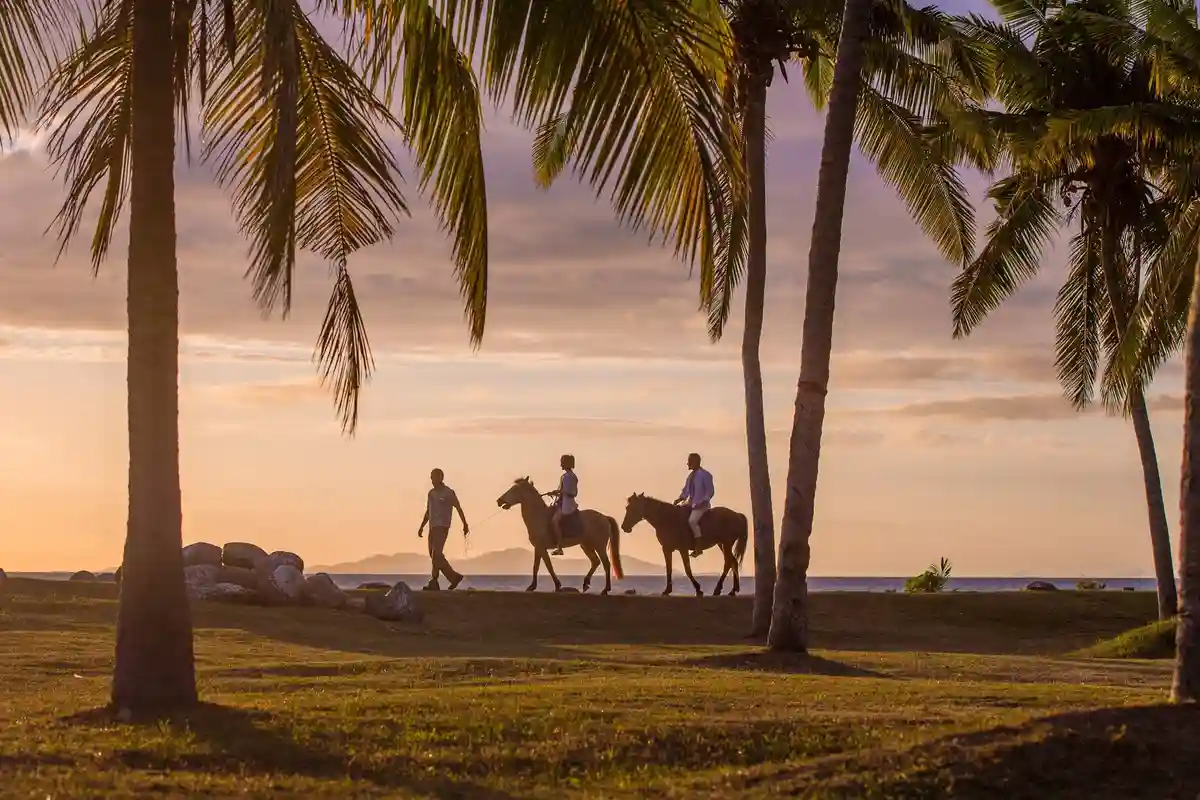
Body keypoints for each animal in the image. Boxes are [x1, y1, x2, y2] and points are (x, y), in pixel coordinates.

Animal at [496, 474, 628, 594]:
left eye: (514, 489)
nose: (499, 501)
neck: (539, 516)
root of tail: (605, 517)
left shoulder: (540, 547)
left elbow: (545, 566)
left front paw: (548, 586)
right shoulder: (539, 548)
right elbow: (541, 566)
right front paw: (541, 586)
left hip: (599, 546)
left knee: (606, 564)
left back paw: (605, 589)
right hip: (586, 545)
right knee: (595, 562)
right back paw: (586, 584)